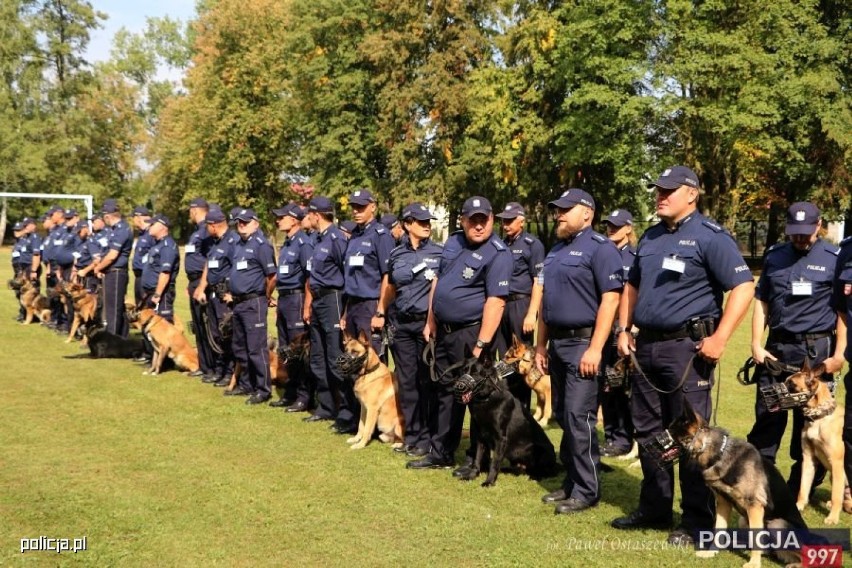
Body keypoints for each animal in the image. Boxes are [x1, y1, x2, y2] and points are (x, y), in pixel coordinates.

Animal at [442, 346, 556, 488]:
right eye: (463, 371)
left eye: (475, 373)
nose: (458, 386)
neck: (486, 398)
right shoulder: (481, 437)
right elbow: (477, 460)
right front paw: (472, 476)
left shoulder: (500, 439)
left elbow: (495, 462)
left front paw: (489, 481)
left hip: (540, 451)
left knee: (546, 472)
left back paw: (535, 476)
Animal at [668, 402, 808, 564]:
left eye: (672, 431)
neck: (719, 454)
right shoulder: (723, 503)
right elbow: (719, 531)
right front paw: (711, 552)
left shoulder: (755, 506)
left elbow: (756, 539)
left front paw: (754, 564)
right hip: (743, 519)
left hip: (776, 524)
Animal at [784, 364, 852, 524]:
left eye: (792, 384)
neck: (819, 417)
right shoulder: (808, 459)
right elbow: (803, 488)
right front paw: (798, 506)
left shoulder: (837, 463)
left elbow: (836, 495)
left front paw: (832, 518)